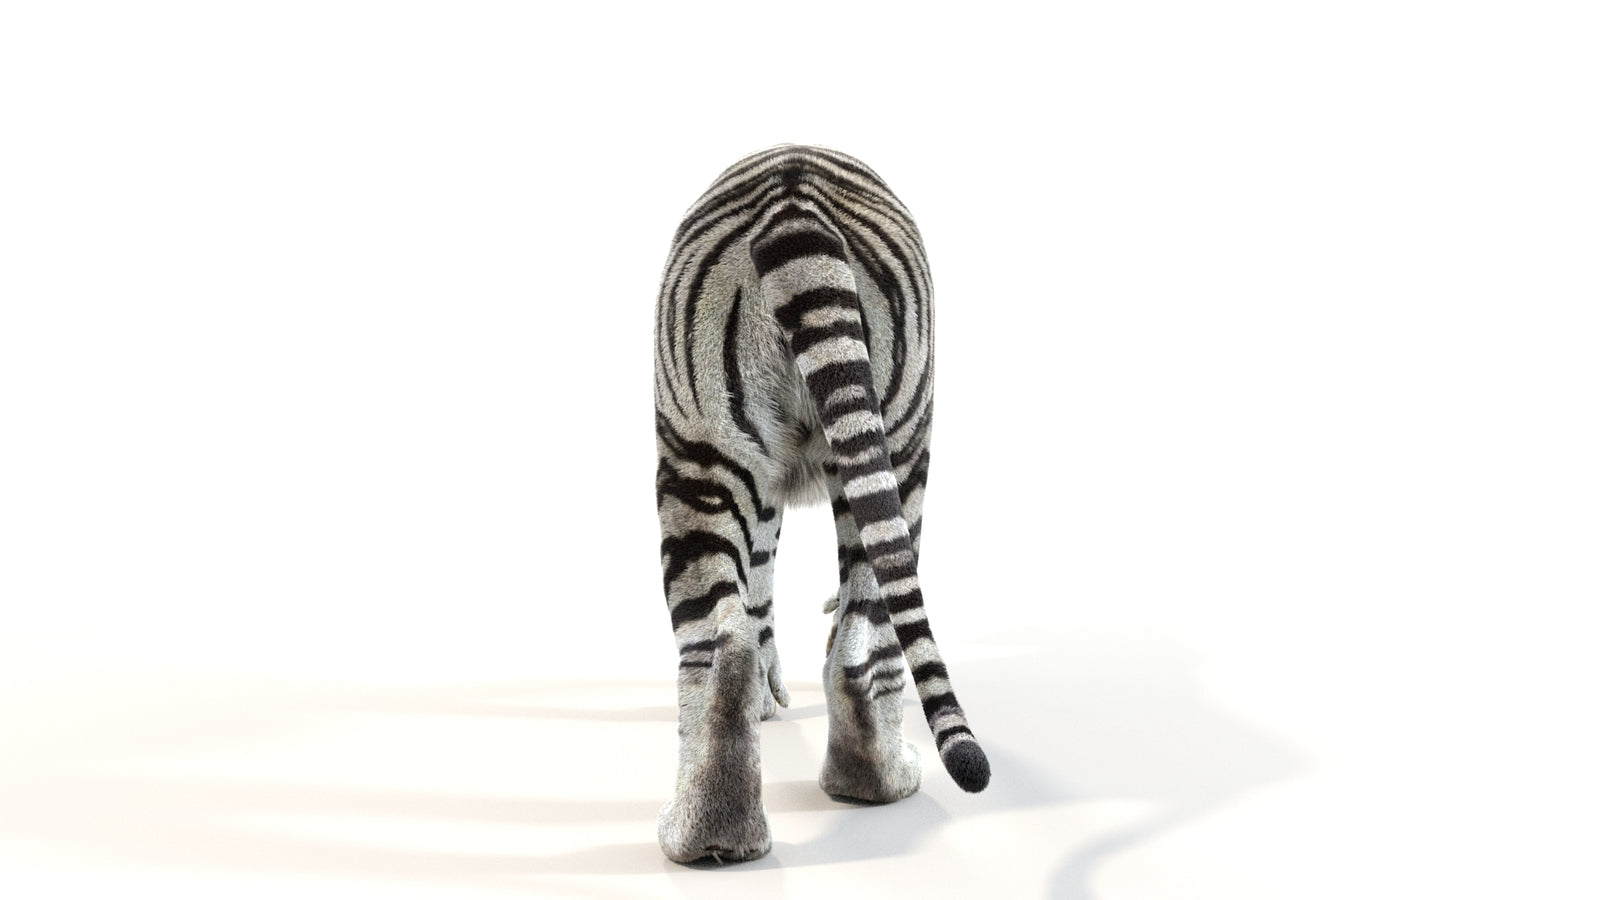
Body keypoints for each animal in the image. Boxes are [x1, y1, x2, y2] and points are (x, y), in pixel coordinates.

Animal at [654, 144, 989, 863]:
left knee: (726, 642)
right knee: (857, 634)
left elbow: (757, 592)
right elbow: (760, 592)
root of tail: (793, 196)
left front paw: (769, 694)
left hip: (702, 452)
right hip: (891, 445)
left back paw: (707, 837)